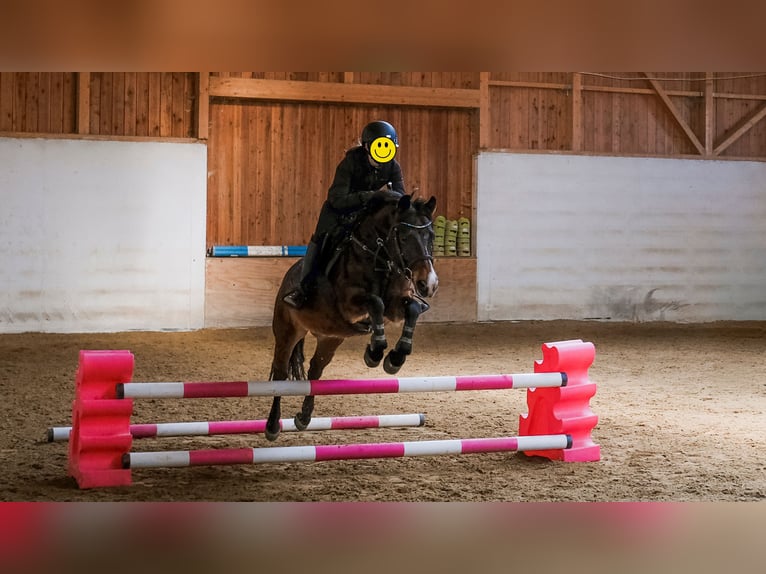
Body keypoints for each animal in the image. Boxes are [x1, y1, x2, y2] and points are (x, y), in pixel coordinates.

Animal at [265, 189, 439, 441]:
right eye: (404, 237)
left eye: (431, 235)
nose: (429, 284)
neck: (379, 256)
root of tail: (288, 276)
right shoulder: (349, 305)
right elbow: (375, 302)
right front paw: (375, 352)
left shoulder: (396, 306)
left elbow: (413, 309)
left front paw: (395, 358)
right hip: (287, 331)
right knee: (280, 373)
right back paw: (272, 426)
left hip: (331, 338)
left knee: (315, 370)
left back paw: (304, 417)